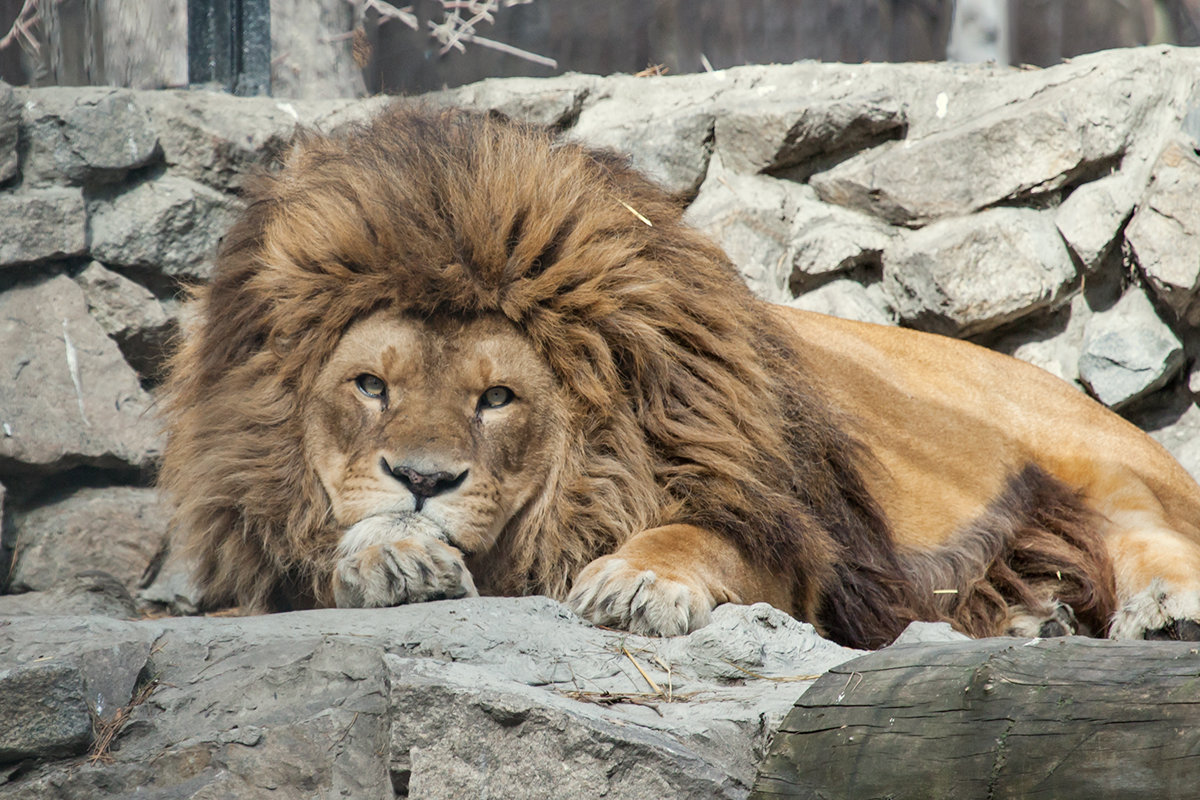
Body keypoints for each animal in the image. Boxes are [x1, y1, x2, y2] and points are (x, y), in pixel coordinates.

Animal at [159, 103, 1200, 652]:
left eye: (497, 399)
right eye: (371, 386)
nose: (422, 481)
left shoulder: (799, 546)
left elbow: (698, 534)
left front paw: (634, 581)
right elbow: (326, 548)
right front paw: (389, 553)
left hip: (1095, 461)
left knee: (1150, 537)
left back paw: (1162, 614)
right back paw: (1045, 619)